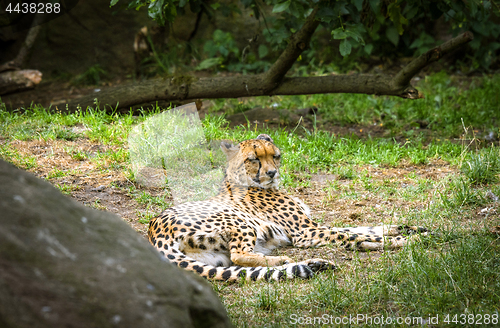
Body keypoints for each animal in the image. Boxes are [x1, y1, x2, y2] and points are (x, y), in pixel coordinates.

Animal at [149, 134, 426, 282]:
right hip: (240, 220)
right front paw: (405, 240)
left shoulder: (312, 226)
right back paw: (281, 258)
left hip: (217, 257)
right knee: (240, 255)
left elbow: (363, 228)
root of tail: (153, 231)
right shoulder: (305, 232)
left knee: (239, 264)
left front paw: (408, 229)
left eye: (275, 156)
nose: (272, 172)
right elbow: (350, 234)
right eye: (254, 159)